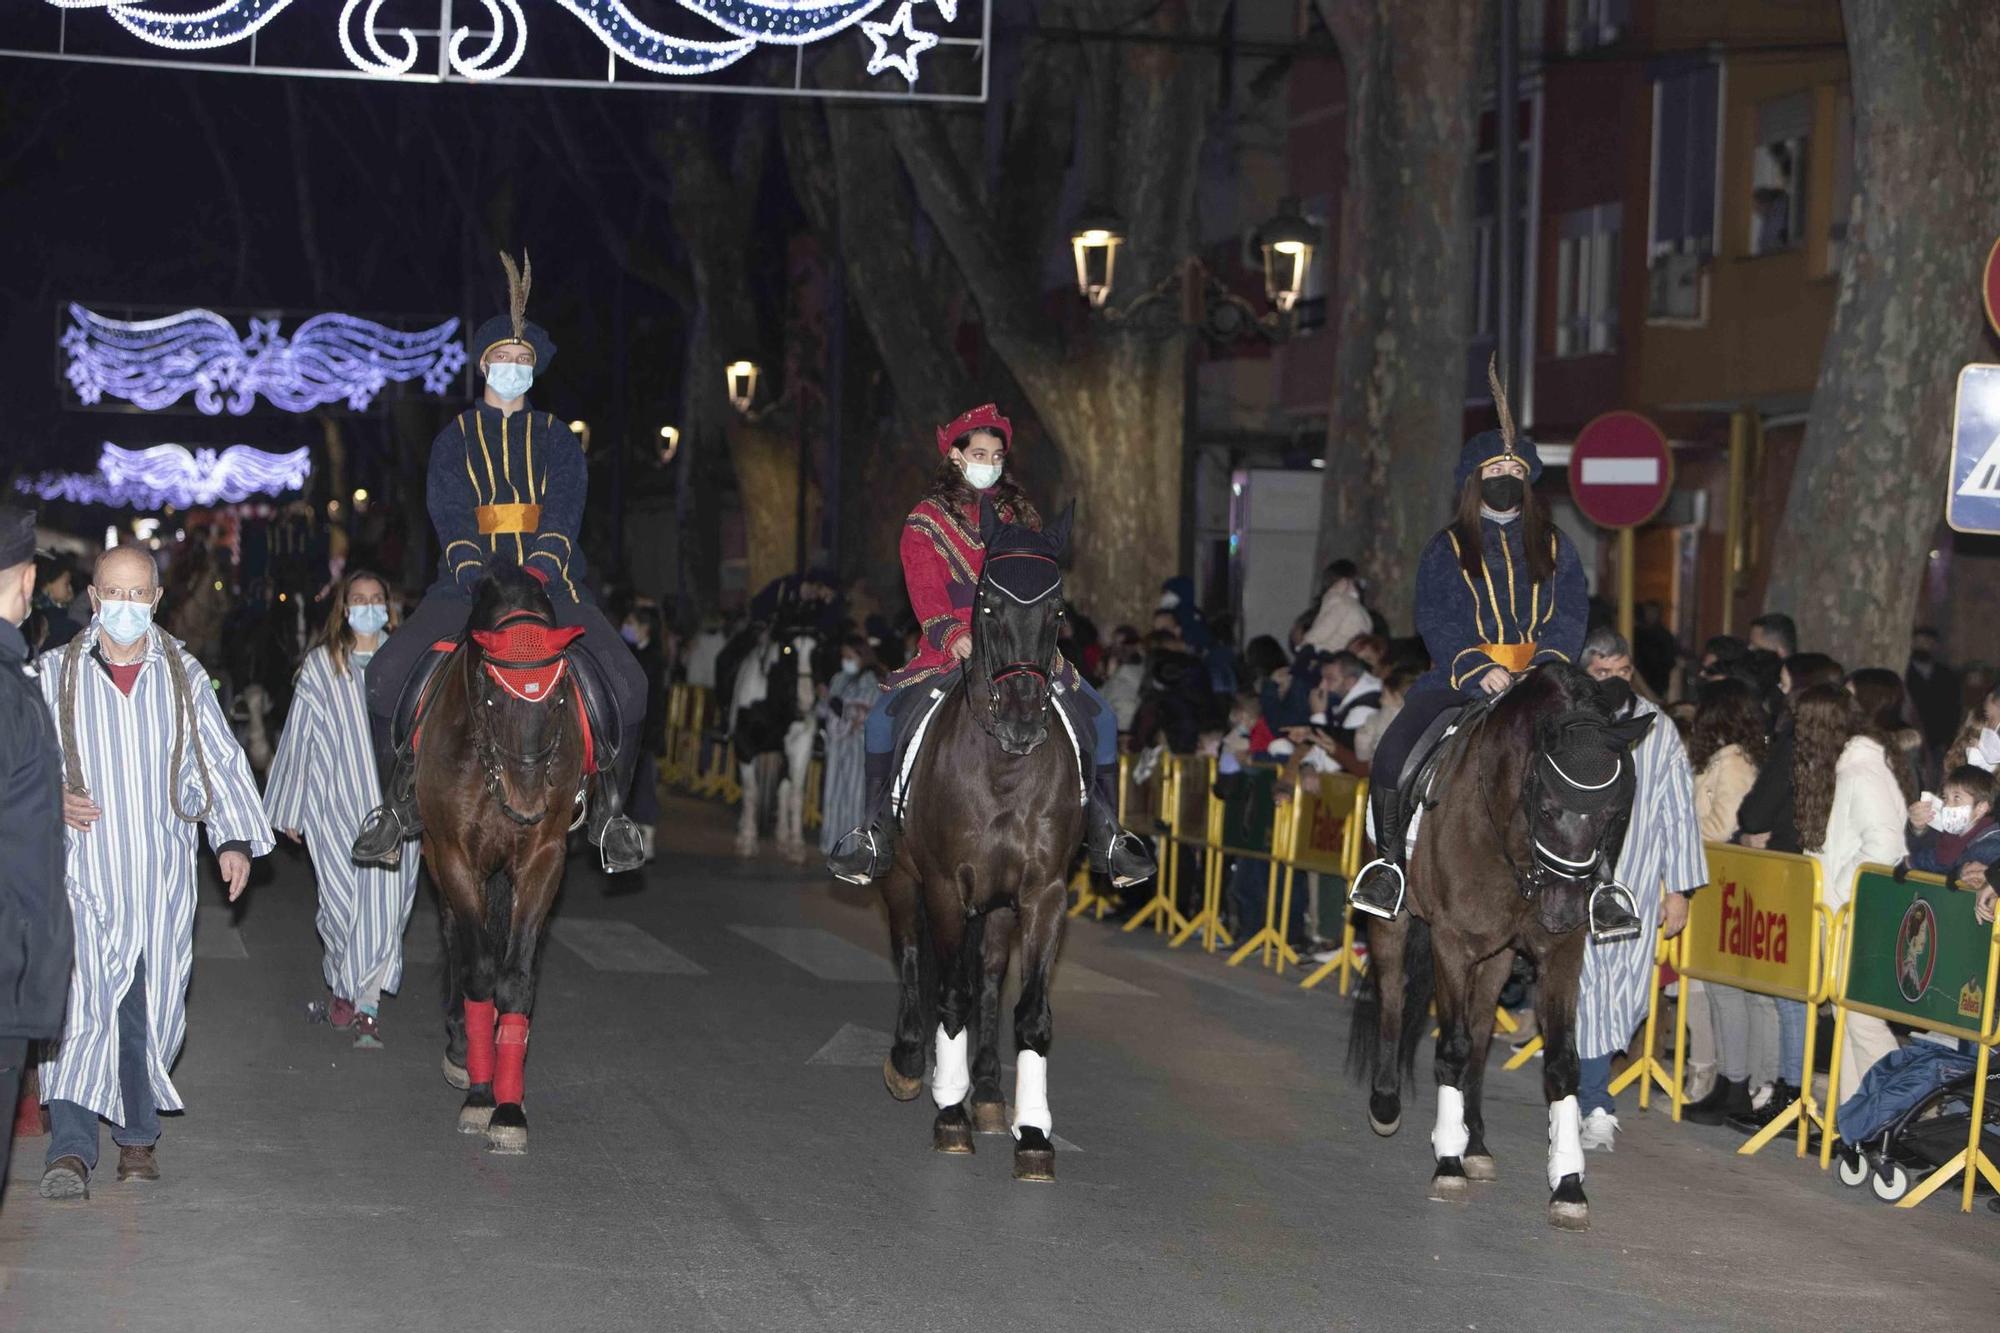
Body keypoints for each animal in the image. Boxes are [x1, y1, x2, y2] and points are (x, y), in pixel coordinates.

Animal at [418, 564, 584, 1144]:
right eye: (493, 697)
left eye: (557, 701)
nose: (527, 804)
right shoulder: (453, 854)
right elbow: (479, 971)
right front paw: (479, 1093)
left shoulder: (544, 858)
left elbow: (515, 979)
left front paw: (508, 1108)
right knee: (454, 938)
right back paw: (461, 1047)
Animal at [880, 496, 1088, 1176]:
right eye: (989, 605)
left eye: (1057, 611)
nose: (1023, 722)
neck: (1005, 770)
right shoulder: (946, 887)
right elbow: (949, 996)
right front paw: (950, 1114)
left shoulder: (1044, 893)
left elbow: (1031, 1012)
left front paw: (1033, 1132)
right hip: (900, 879)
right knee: (911, 955)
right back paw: (910, 1063)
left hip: (998, 907)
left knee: (993, 978)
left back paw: (994, 1094)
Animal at [1352, 664, 1648, 1224]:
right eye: (1548, 809)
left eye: (1614, 814)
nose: (1563, 912)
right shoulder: (1451, 942)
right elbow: (1451, 1046)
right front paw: (1447, 1162)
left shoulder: (1560, 954)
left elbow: (1560, 1062)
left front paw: (1568, 1184)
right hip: (1394, 922)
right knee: (1394, 999)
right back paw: (1384, 1104)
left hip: (1498, 957)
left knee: (1482, 1029)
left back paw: (1477, 1144)